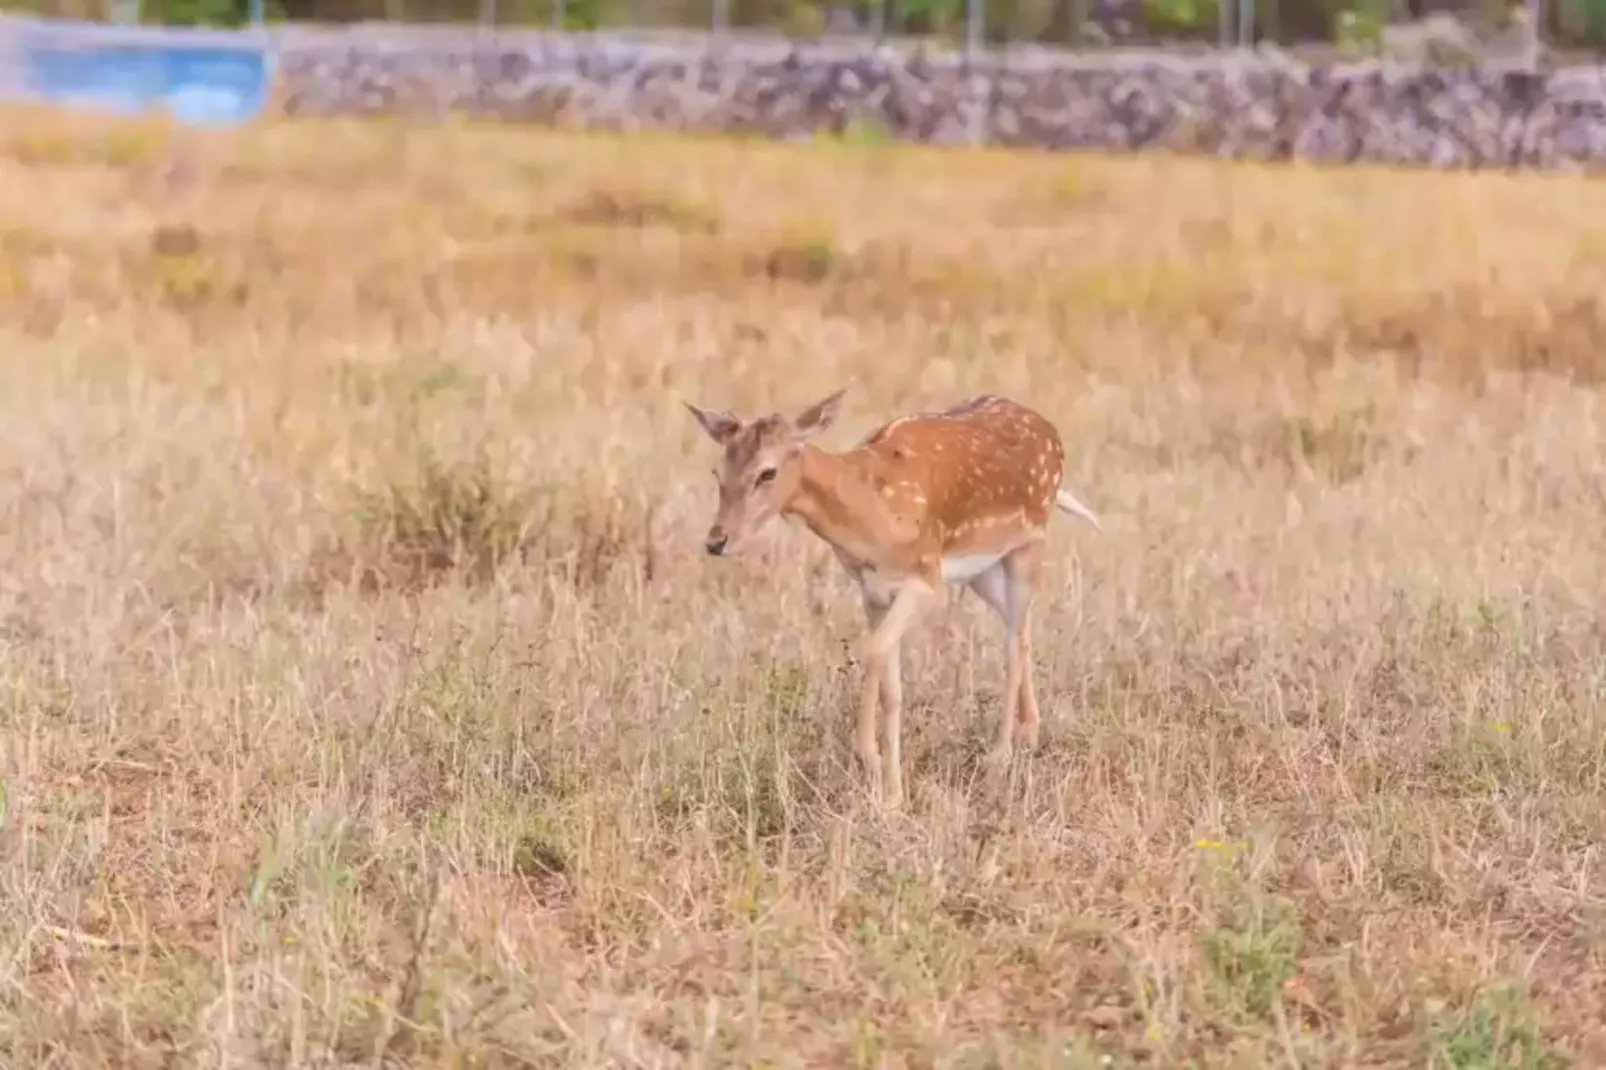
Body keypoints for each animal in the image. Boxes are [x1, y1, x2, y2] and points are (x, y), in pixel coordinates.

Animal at [684, 390, 1098, 800]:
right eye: (717, 472)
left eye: (767, 472)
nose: (716, 541)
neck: (870, 515)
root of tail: (1049, 430)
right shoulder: (873, 589)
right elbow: (892, 688)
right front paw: (893, 794)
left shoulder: (926, 579)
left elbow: (874, 652)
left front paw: (868, 756)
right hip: (981, 570)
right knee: (1019, 629)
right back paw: (1029, 732)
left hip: (1027, 544)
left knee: (1014, 643)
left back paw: (1000, 757)